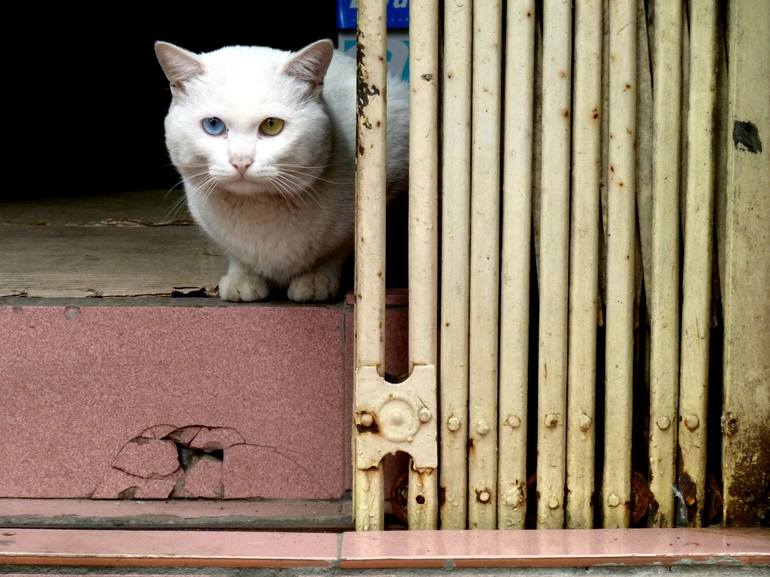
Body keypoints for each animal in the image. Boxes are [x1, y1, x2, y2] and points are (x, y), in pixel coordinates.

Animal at [155, 40, 408, 302]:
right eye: (213, 125)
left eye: (271, 125)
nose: (241, 161)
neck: (257, 209)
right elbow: (237, 255)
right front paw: (242, 278)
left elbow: (337, 250)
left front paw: (316, 279)